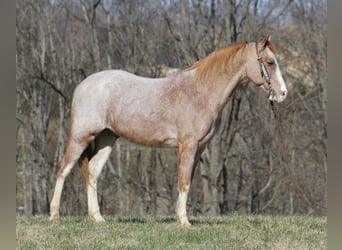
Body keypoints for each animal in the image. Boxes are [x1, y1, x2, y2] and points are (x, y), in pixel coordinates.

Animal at [49, 34, 288, 228]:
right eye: (270, 62)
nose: (283, 93)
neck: (201, 92)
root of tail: (83, 85)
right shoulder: (188, 145)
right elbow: (184, 181)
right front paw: (184, 222)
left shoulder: (199, 148)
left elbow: (186, 181)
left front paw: (179, 217)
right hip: (80, 137)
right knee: (63, 169)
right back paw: (54, 216)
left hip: (106, 139)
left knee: (92, 173)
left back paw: (97, 218)